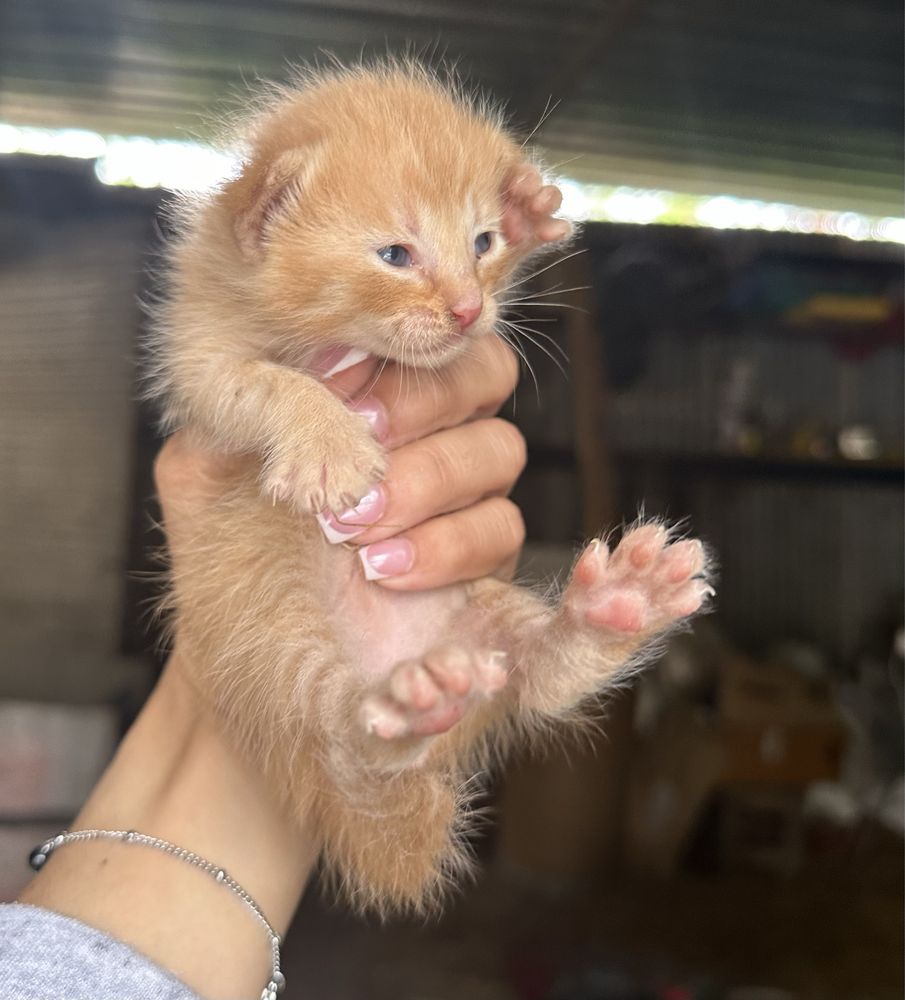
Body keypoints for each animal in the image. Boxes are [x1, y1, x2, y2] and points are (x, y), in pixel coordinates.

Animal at [150, 62, 712, 916]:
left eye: (481, 243)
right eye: (395, 254)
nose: (468, 309)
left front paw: (527, 207)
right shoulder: (196, 357)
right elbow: (262, 381)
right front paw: (327, 444)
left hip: (483, 615)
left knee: (533, 680)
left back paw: (613, 609)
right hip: (277, 653)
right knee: (348, 740)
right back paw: (405, 709)